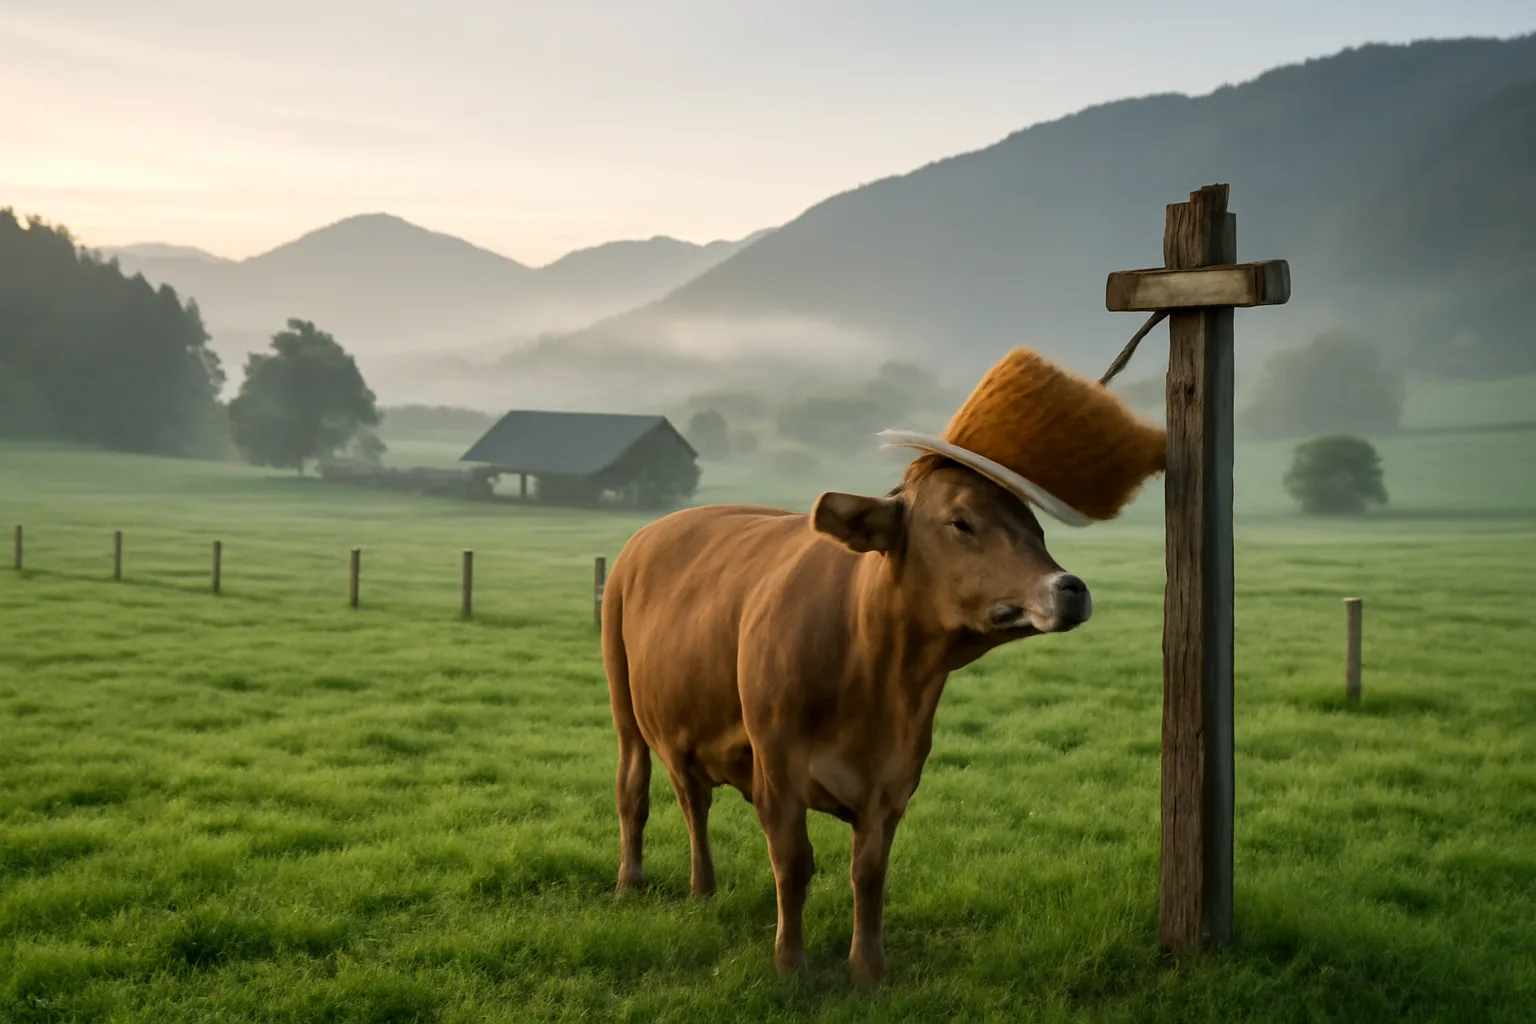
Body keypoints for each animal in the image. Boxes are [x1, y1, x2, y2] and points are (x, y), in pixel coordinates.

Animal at [599, 453, 1093, 988]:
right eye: (960, 522)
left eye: (1037, 529)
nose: (1071, 588)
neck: (875, 672)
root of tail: (651, 533)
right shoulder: (776, 773)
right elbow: (793, 863)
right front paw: (790, 963)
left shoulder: (893, 782)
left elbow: (869, 873)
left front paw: (869, 970)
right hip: (625, 708)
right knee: (635, 792)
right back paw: (631, 882)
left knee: (694, 804)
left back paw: (703, 890)